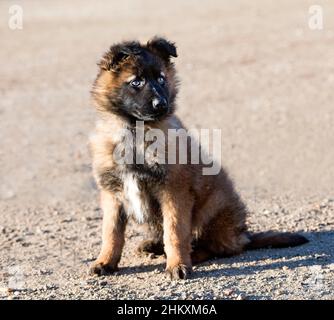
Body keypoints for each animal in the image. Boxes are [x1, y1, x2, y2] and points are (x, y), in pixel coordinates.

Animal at [88, 36, 308, 278]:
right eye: (136, 82)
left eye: (161, 79)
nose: (161, 104)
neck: (135, 133)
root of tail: (243, 235)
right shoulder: (113, 194)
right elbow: (111, 233)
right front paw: (105, 262)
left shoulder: (174, 191)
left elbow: (175, 232)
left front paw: (177, 265)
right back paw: (152, 245)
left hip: (211, 209)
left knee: (214, 247)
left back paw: (187, 255)